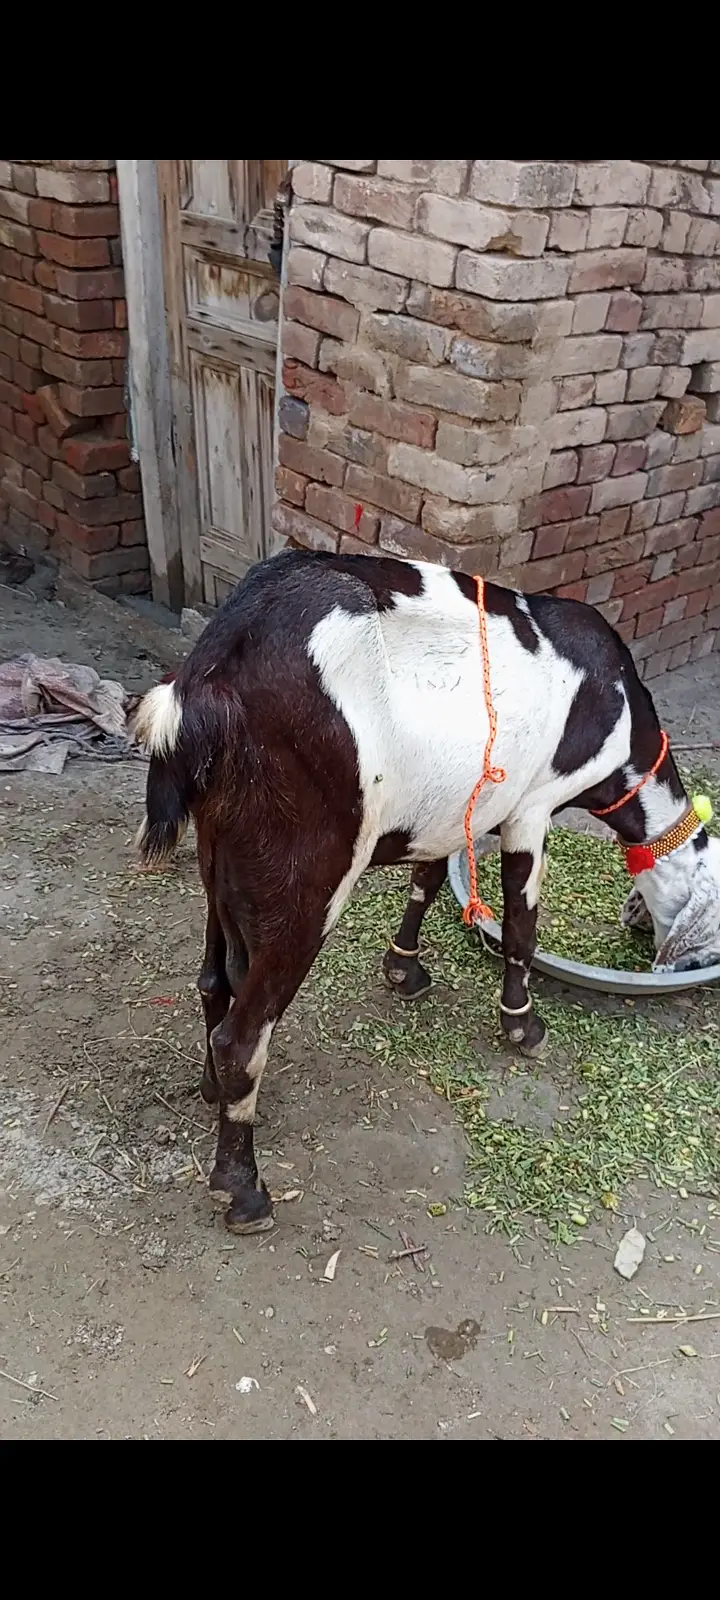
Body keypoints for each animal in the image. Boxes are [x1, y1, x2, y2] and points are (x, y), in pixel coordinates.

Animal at [133, 550, 720, 1233]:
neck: (618, 717)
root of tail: (205, 682)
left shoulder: (453, 811)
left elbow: (430, 877)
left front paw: (404, 969)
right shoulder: (532, 808)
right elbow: (521, 924)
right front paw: (522, 1025)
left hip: (221, 853)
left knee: (214, 982)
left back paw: (212, 1092)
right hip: (306, 874)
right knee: (244, 1034)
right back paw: (243, 1189)